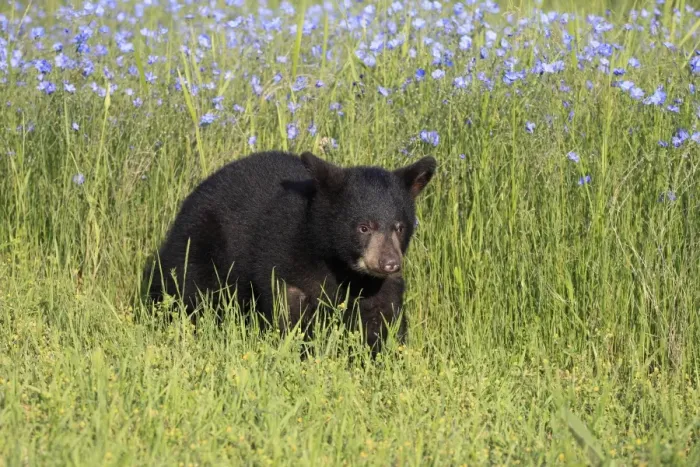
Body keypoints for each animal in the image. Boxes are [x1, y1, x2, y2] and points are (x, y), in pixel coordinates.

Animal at [143, 150, 435, 352]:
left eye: (399, 226)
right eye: (364, 227)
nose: (389, 262)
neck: (337, 263)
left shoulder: (375, 283)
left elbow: (383, 314)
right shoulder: (285, 253)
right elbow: (290, 311)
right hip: (199, 244)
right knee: (186, 290)